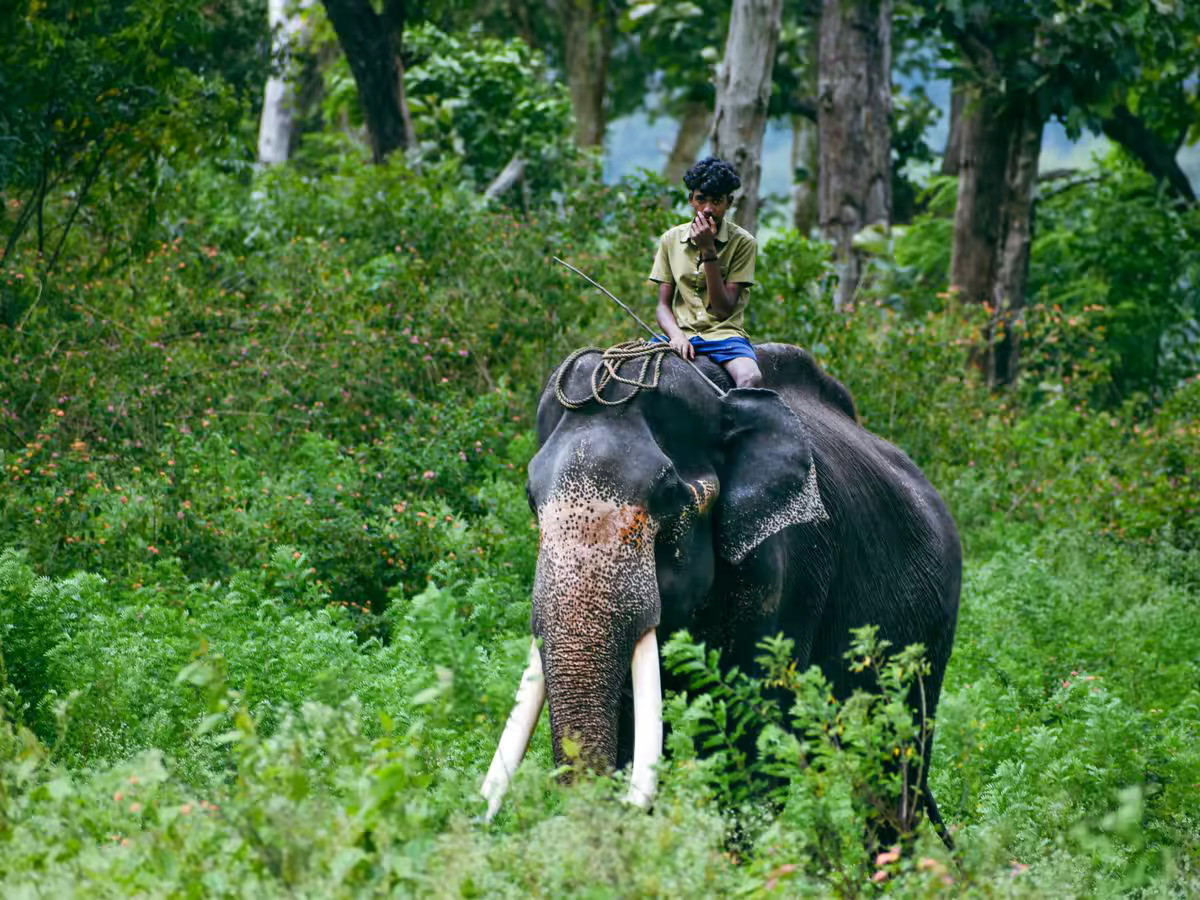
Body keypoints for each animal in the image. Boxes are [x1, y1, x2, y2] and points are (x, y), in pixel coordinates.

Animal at [481, 342, 961, 841]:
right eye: (531, 497)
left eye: (666, 493)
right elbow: (635, 728)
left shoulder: (787, 570)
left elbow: (749, 731)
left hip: (929, 628)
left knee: (893, 755)